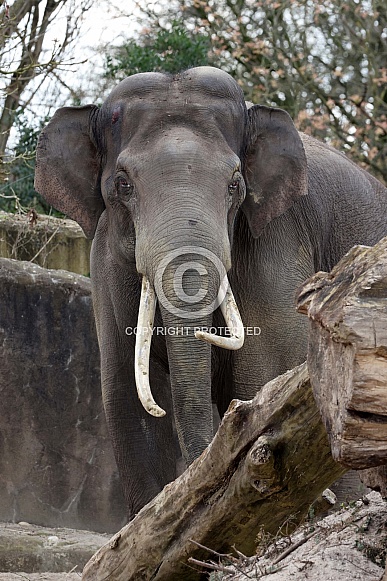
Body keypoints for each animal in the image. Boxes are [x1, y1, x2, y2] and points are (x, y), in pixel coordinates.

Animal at [34, 65, 387, 520]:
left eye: (235, 183)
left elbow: (269, 374)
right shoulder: (106, 259)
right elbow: (128, 395)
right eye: (123, 184)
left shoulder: (277, 241)